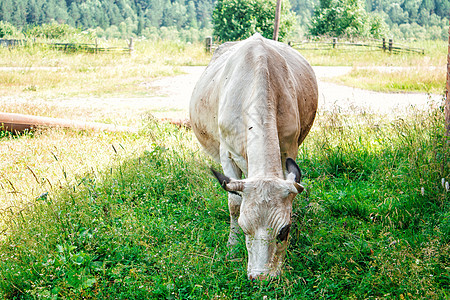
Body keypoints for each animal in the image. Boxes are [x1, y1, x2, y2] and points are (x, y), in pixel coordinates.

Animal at [188, 34, 318, 280]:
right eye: (244, 227)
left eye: (285, 230)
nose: (262, 278)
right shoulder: (226, 154)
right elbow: (234, 203)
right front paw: (232, 246)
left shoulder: (290, 147)